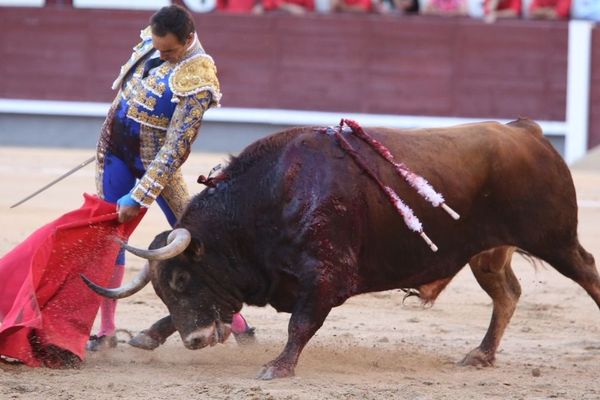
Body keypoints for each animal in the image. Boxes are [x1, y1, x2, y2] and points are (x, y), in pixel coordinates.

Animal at [83, 118, 600, 378]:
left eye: (183, 278)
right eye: (164, 288)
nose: (196, 342)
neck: (267, 198)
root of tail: (526, 131)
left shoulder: (327, 276)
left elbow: (300, 323)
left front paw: (277, 368)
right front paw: (148, 335)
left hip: (554, 239)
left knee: (588, 272)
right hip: (486, 254)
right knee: (508, 294)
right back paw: (481, 355)